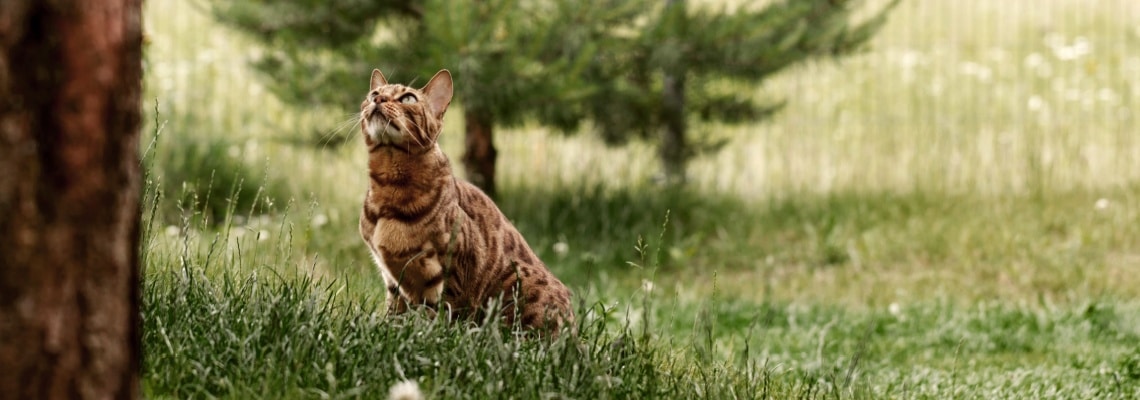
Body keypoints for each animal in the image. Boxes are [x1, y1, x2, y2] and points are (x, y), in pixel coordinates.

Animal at [357, 68, 574, 332]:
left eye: (407, 98)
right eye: (373, 94)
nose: (377, 99)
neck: (390, 187)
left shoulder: (453, 269)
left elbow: (440, 315)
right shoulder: (391, 278)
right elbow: (395, 312)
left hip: (517, 280)